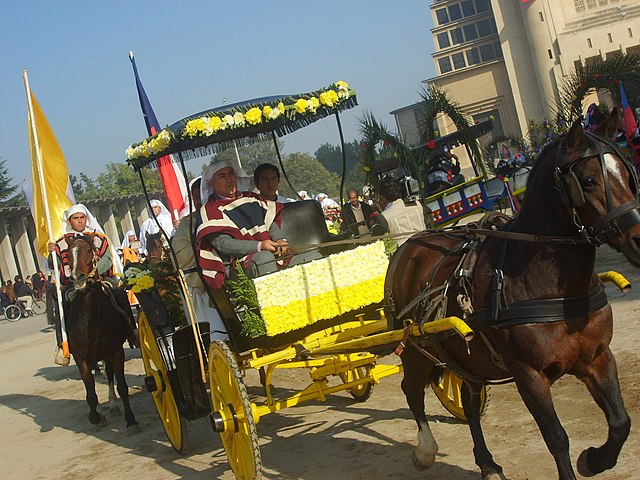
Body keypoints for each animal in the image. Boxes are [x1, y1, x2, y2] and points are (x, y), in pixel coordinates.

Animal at [66, 234, 139, 434]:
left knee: (109, 373)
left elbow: (122, 386)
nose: (78, 277)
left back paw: (113, 406)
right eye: (68, 254)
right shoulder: (81, 358)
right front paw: (95, 416)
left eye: (90, 251)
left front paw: (131, 420)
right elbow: (90, 392)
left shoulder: (115, 352)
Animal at [390, 109, 640, 480]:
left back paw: (487, 463)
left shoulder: (598, 357)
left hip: (466, 358)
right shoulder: (529, 375)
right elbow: (556, 437)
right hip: (417, 349)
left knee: (469, 400)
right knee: (412, 391)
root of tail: (408, 246)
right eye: (588, 181)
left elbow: (620, 422)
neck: (554, 291)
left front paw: (594, 460)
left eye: (626, 171)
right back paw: (425, 450)